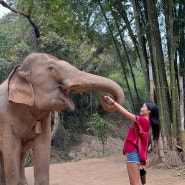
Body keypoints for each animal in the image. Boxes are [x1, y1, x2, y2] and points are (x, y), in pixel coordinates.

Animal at [0, 52, 124, 185]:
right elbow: (11, 150)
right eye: (51, 68)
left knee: (21, 153)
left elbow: (42, 147)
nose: (106, 98)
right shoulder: (5, 118)